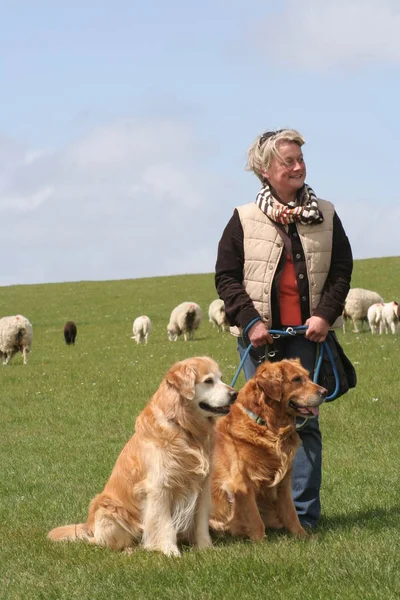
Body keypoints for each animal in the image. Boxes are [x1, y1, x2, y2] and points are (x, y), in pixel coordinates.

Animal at [50, 356, 238, 556]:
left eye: (221, 378)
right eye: (208, 381)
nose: (235, 394)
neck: (184, 427)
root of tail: (89, 527)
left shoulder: (202, 487)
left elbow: (200, 523)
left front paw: (206, 548)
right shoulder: (158, 488)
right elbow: (164, 524)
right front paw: (170, 552)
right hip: (108, 511)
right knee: (103, 543)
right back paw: (130, 550)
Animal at [209, 358, 324, 540]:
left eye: (308, 376)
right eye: (296, 379)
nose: (325, 392)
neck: (268, 427)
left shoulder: (284, 484)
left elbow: (291, 514)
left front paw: (303, 536)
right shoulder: (241, 485)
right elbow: (256, 520)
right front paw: (260, 542)